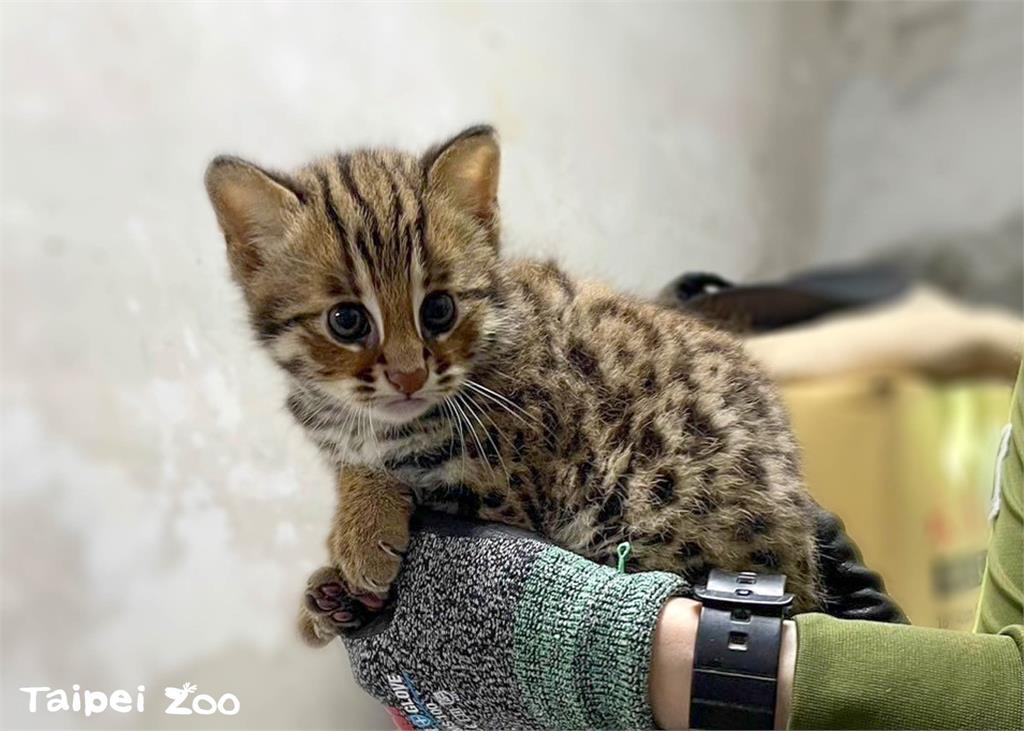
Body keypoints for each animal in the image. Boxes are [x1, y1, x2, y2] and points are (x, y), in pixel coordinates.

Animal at [203, 125, 819, 642]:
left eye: (440, 309)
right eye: (347, 321)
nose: (408, 375)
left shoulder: (500, 488)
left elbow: (414, 483)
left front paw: (353, 547)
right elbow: (361, 464)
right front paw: (339, 576)